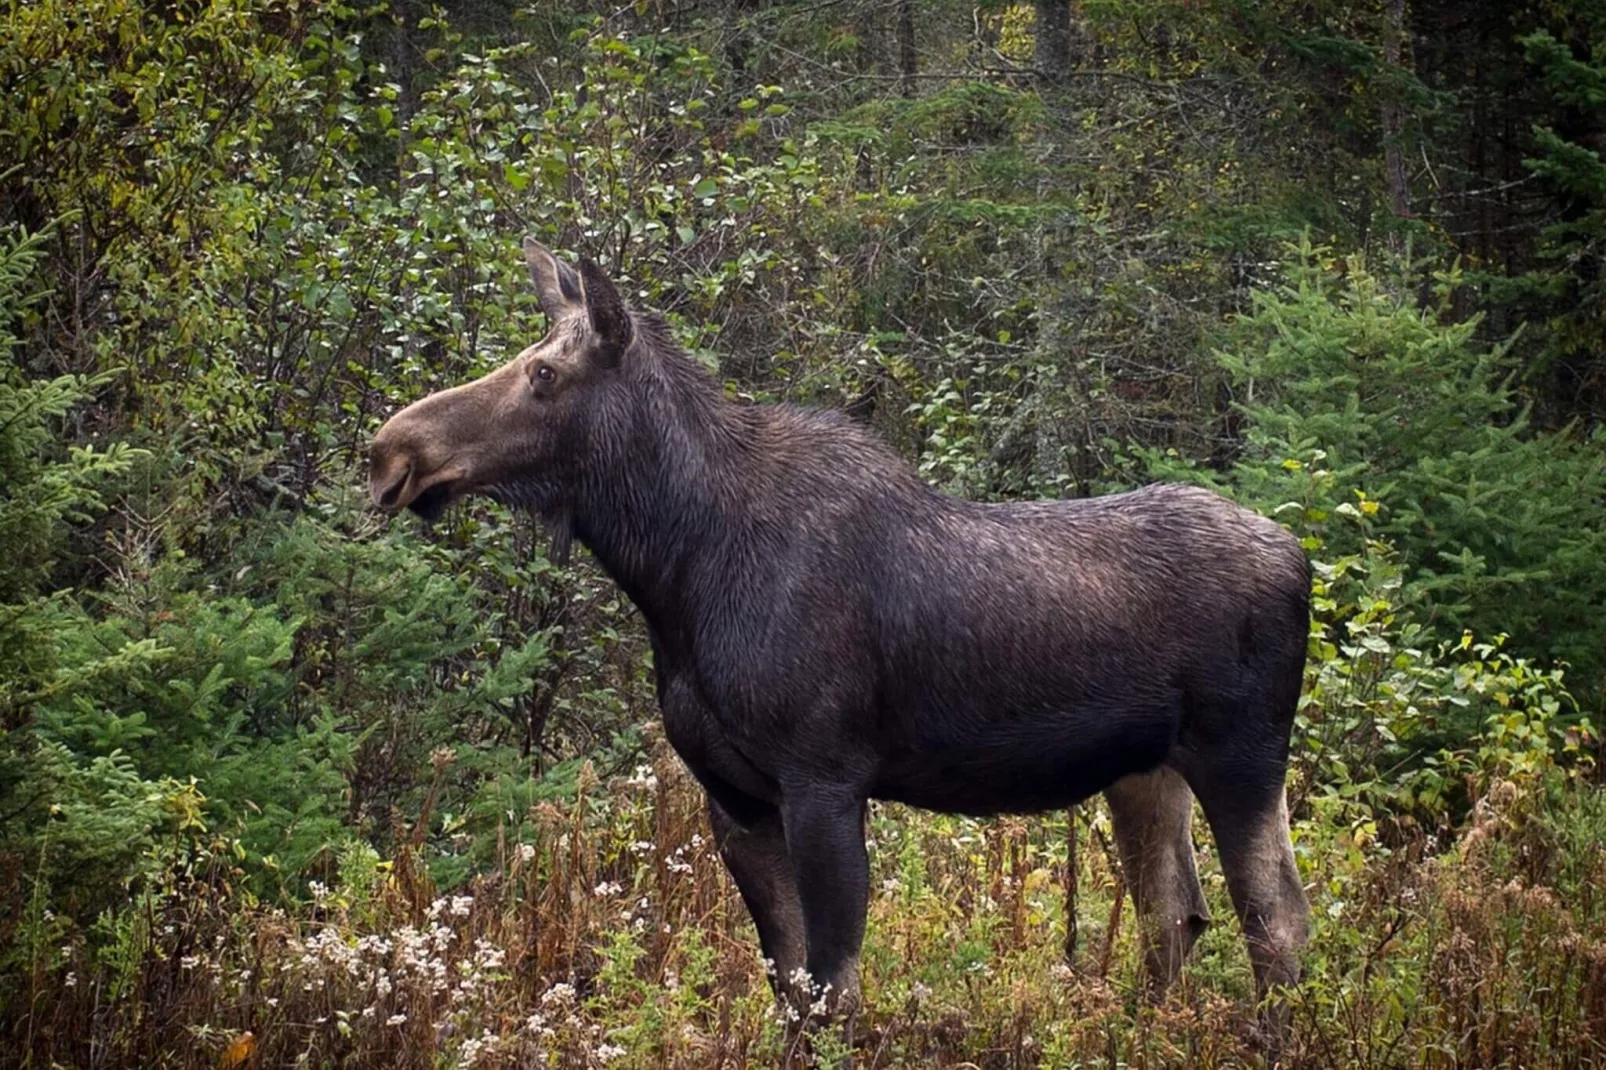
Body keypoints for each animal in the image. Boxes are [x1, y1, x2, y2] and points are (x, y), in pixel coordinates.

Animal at [369, 237, 1310, 1047]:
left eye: (545, 372)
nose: (390, 451)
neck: (676, 569)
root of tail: (1301, 555)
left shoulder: (823, 777)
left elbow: (832, 989)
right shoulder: (734, 796)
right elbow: (789, 984)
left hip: (1243, 754)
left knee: (1277, 921)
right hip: (1145, 770)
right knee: (1177, 914)